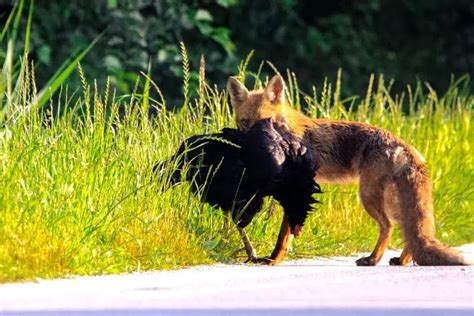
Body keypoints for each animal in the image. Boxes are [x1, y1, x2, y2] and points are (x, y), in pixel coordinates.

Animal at [228, 74, 468, 266]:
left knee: (388, 227)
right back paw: (402, 260)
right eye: (245, 122)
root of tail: (405, 145)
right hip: (391, 201)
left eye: (266, 122)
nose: (255, 146)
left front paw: (273, 260)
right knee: (408, 231)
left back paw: (373, 259)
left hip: (368, 196)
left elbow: (282, 238)